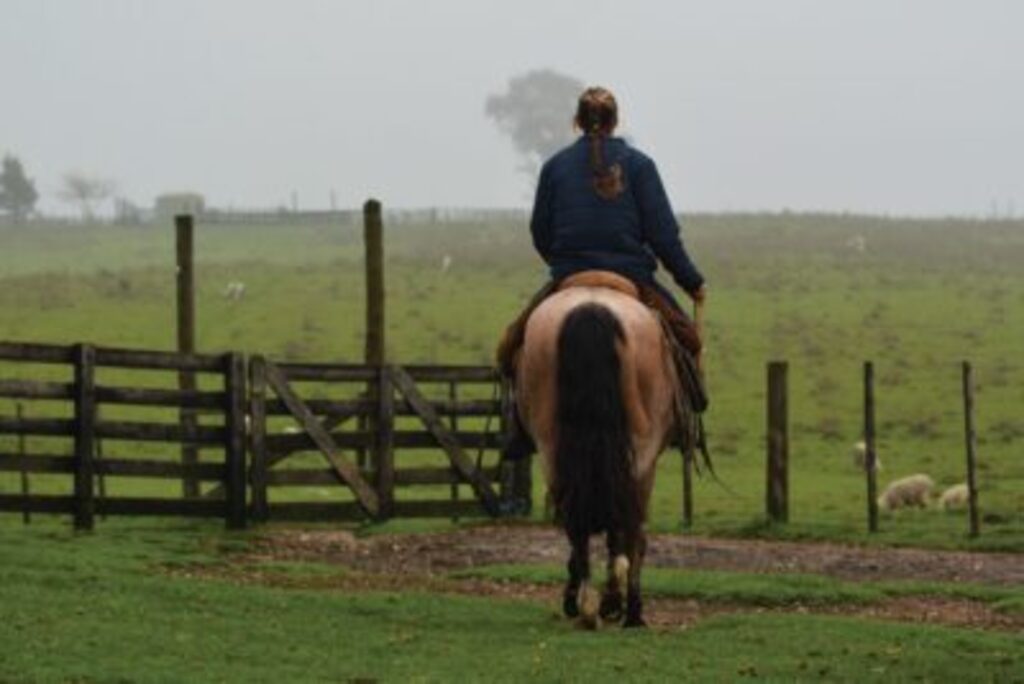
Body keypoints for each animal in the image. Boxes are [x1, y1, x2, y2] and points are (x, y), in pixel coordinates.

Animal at [520, 274, 679, 626]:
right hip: (641, 452)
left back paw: (589, 605)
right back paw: (627, 610)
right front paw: (614, 598)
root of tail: (591, 307)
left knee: (577, 521)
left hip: (552, 448)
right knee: (631, 527)